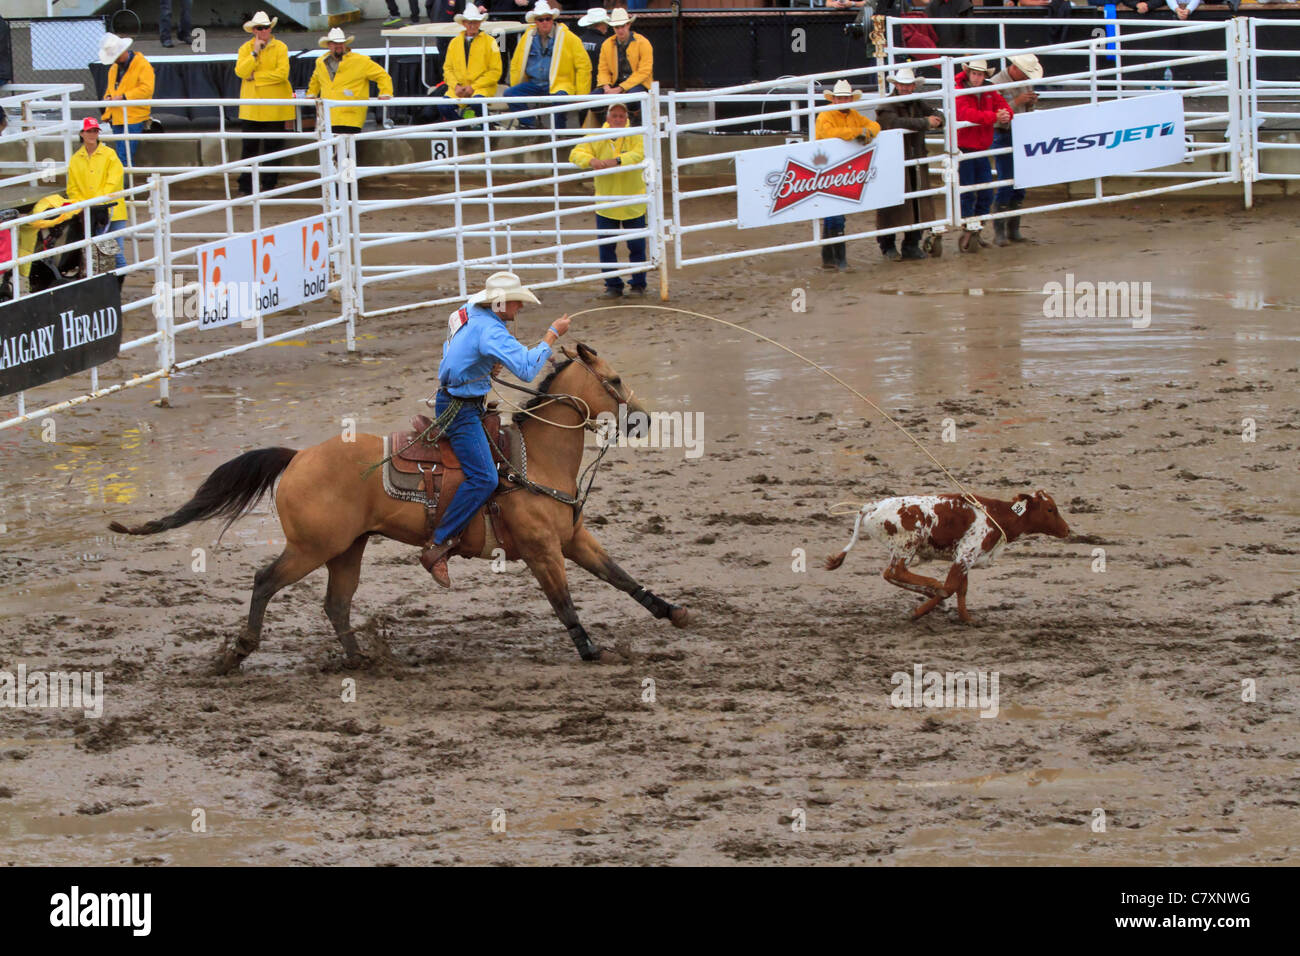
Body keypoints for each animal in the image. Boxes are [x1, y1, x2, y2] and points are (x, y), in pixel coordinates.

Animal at [106, 343, 691, 671]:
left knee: (336, 604)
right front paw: (592, 651)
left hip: (347, 549)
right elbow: (564, 603)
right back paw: (240, 651)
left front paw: (672, 611)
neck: (536, 459)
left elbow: (620, 576)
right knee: (265, 581)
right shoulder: (543, 550)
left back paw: (364, 660)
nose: (644, 419)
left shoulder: (572, 539)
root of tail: (297, 457)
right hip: (312, 547)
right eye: (614, 380)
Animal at [826, 489, 1071, 624]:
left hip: (902, 549)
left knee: (891, 574)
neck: (996, 516)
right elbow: (952, 586)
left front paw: (966, 618)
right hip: (907, 545)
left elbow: (962, 589)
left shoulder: (965, 557)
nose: (1068, 530)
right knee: (897, 571)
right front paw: (919, 611)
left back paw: (930, 590)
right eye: (1050, 509)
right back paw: (933, 586)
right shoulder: (965, 556)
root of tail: (873, 505)